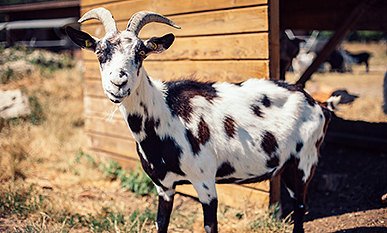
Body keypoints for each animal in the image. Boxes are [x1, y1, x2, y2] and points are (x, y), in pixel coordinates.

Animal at [66, 7, 340, 233]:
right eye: (99, 52)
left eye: (141, 52)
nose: (118, 83)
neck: (165, 114)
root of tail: (320, 105)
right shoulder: (164, 186)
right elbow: (161, 223)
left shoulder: (205, 181)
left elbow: (210, 226)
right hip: (287, 167)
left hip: (305, 161)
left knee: (301, 207)